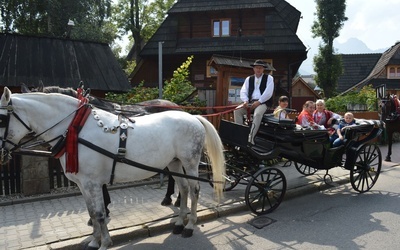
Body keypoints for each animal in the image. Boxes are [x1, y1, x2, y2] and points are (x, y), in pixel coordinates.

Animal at [0, 87, 225, 248]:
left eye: (2, 118)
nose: (1, 152)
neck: (77, 128)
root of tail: (192, 117)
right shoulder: (83, 184)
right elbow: (92, 213)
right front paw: (93, 241)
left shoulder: (92, 183)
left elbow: (99, 213)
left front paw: (105, 243)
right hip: (174, 162)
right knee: (184, 188)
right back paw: (179, 223)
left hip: (190, 162)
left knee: (194, 190)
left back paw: (190, 225)